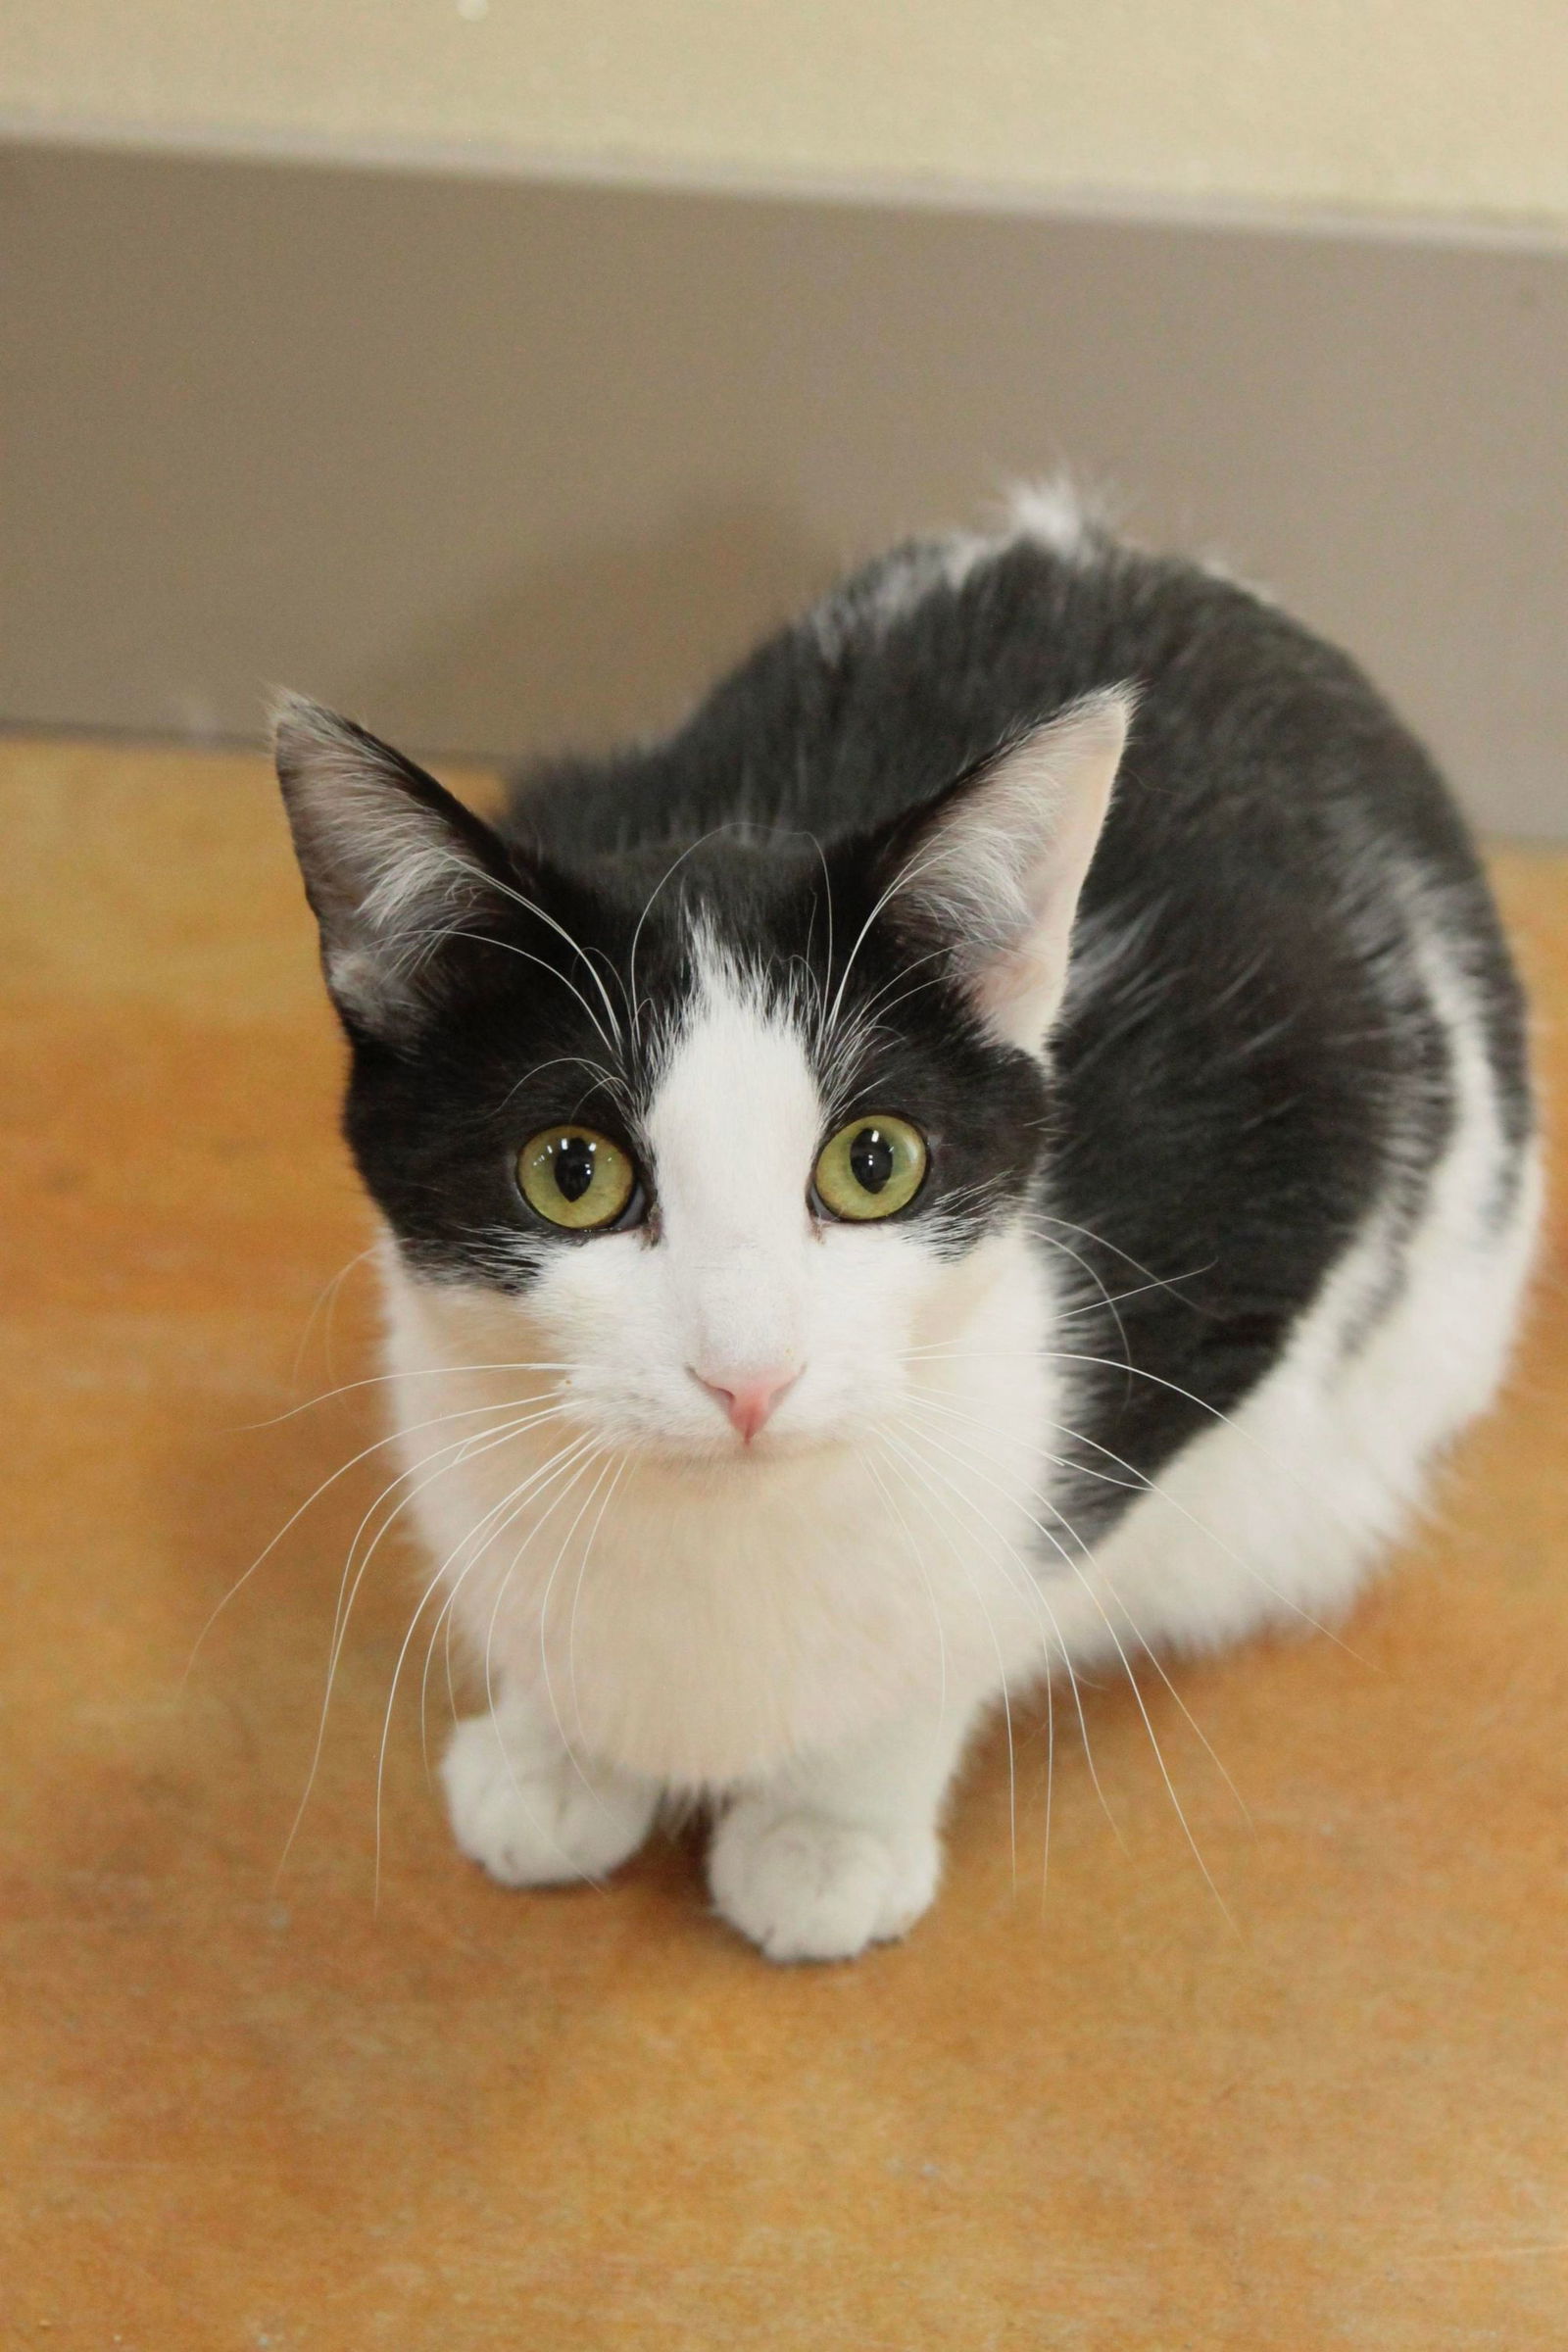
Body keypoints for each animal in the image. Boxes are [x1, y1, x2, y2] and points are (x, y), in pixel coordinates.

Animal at [275, 491, 1542, 1966]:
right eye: (571, 1173)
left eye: (872, 1163)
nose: (747, 1376)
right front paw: (560, 1751)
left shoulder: (1292, 1139)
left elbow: (988, 1599)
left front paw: (831, 1826)